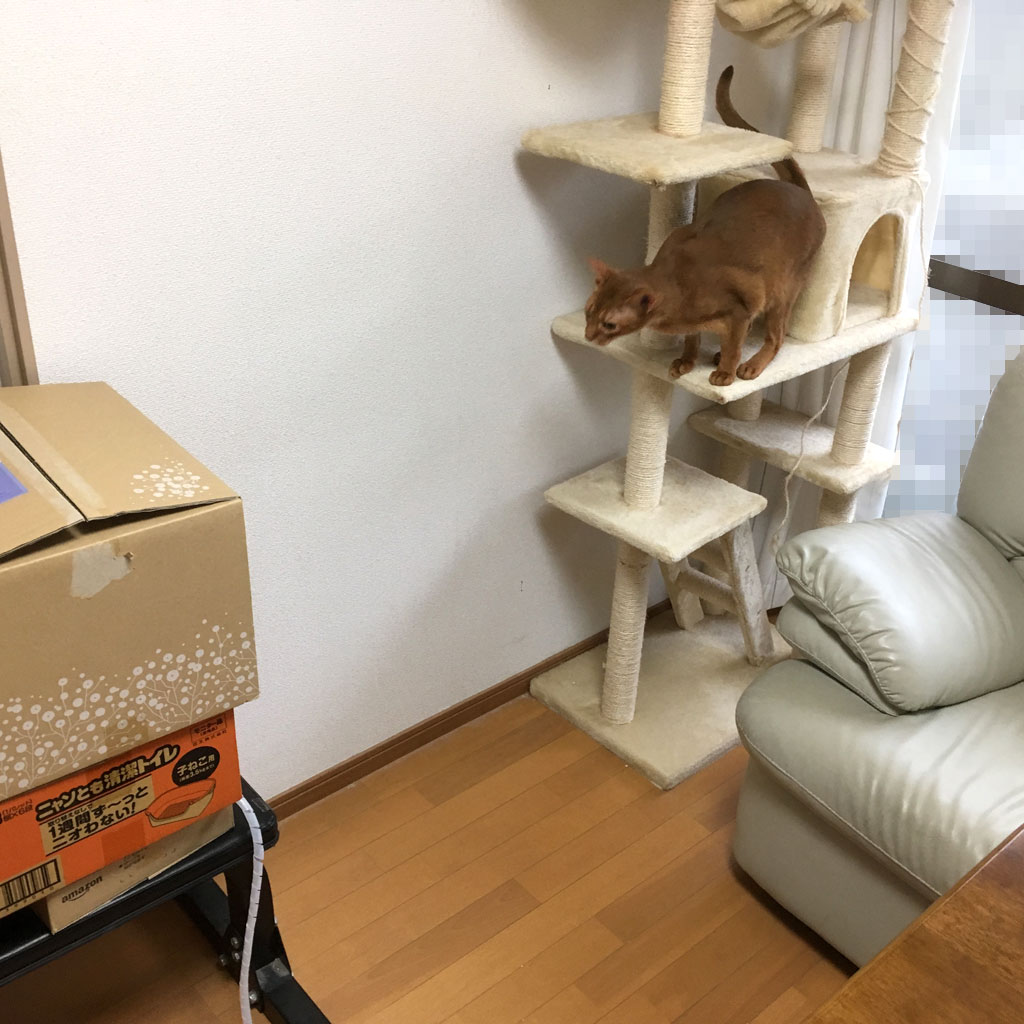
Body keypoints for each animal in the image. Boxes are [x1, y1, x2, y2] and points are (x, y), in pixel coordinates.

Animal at [583, 65, 826, 386]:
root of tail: (802, 192)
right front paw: (686, 361)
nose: (588, 336)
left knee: (776, 337)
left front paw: (725, 373)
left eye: (609, 324)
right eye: (588, 311)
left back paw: (750, 366)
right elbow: (693, 338)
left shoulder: (741, 308)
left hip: (782, 290)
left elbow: (734, 344)